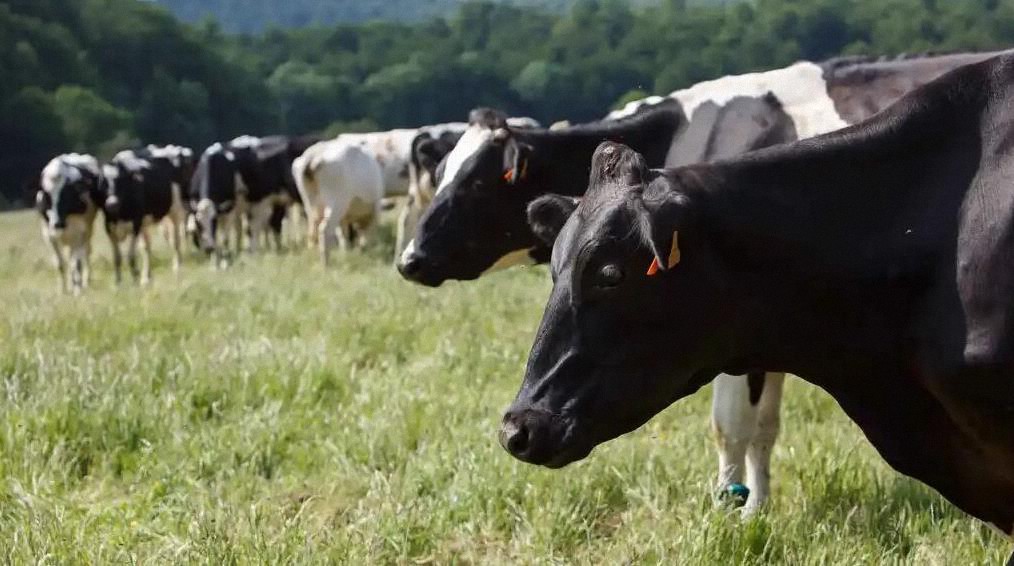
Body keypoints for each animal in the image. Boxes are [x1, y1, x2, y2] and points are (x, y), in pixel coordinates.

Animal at [35, 155, 103, 298]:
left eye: (67, 194)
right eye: (46, 195)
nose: (57, 224)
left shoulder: (79, 232)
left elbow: (76, 263)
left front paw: (78, 291)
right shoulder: (48, 235)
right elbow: (59, 263)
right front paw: (62, 291)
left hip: (87, 231)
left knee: (85, 253)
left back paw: (84, 283)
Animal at [101, 146, 191, 286]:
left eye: (120, 180)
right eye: (103, 182)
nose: (111, 204)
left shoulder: (136, 224)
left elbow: (131, 256)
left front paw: (134, 279)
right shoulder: (109, 228)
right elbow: (117, 257)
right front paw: (118, 282)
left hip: (176, 209)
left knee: (175, 239)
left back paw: (177, 265)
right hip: (147, 223)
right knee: (147, 247)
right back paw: (147, 276)